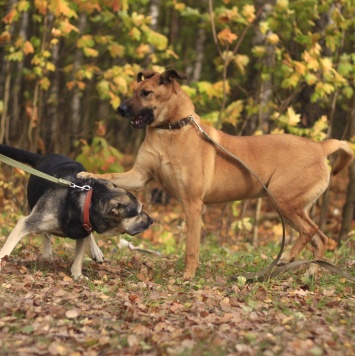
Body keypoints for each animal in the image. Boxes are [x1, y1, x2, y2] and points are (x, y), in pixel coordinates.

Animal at [78, 69, 355, 280]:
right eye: (134, 90)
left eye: (145, 93)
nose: (120, 109)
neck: (169, 130)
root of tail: (320, 147)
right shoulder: (139, 175)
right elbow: (110, 175)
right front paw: (86, 175)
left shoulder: (192, 204)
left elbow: (191, 247)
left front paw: (188, 276)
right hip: (292, 204)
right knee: (319, 238)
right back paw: (309, 272)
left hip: (284, 200)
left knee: (312, 232)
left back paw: (289, 257)